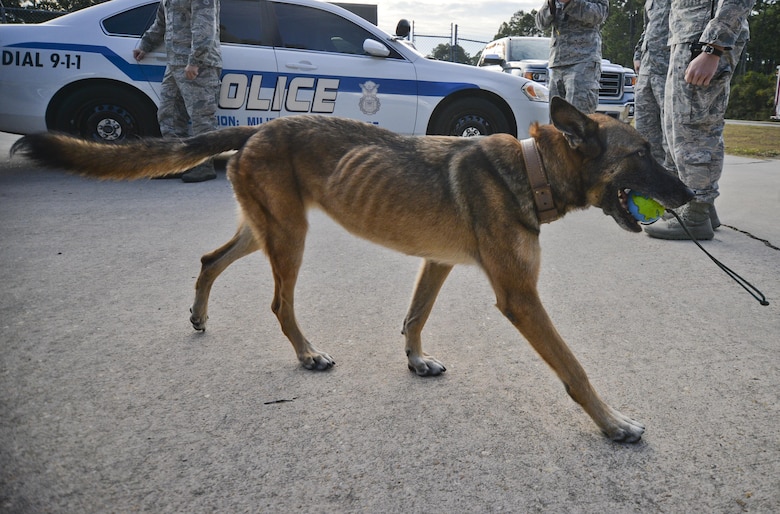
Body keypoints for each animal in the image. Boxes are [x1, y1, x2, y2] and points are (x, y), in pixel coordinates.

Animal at [10, 97, 696, 440]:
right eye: (642, 153)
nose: (688, 194)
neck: (531, 168)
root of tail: (256, 130)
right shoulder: (520, 298)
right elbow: (574, 369)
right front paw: (613, 423)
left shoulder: (437, 264)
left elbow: (414, 317)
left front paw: (416, 360)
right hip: (289, 238)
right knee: (279, 304)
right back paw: (307, 353)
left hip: (262, 230)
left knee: (210, 260)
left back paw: (200, 316)